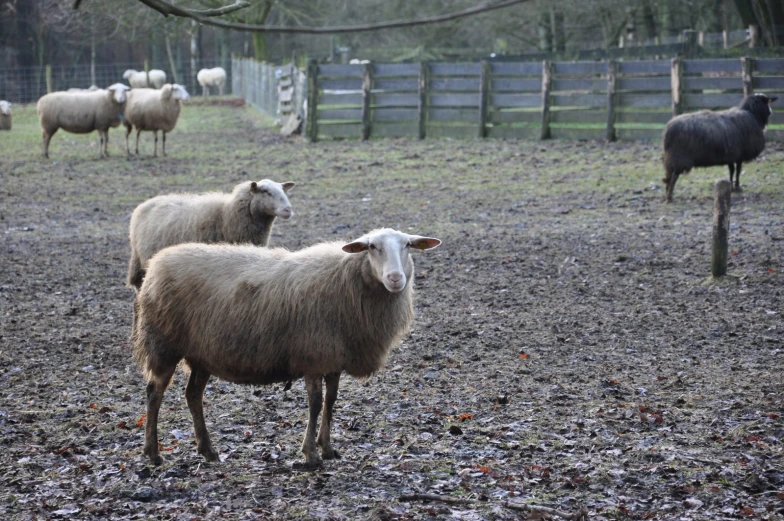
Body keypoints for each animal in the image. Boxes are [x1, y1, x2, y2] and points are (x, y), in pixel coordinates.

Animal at [127, 177, 296, 286]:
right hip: (141, 263)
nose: (288, 209)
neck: (227, 215)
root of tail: (147, 202)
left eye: (283, 190)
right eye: (265, 191)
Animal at [133, 230, 440, 466]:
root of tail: (156, 264)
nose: (395, 278)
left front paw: (328, 448)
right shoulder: (313, 355)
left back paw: (207, 451)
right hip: (164, 344)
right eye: (372, 247)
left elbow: (331, 401)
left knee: (193, 395)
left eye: (407, 245)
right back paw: (153, 453)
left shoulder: (333, 358)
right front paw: (311, 454)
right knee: (154, 393)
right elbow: (315, 403)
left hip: (202, 354)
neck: (347, 280)